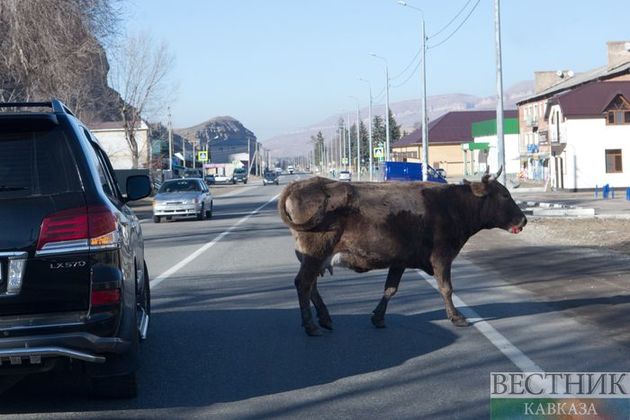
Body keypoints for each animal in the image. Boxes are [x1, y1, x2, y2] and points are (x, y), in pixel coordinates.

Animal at [278, 167, 532, 334]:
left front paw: (378, 317)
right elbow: (446, 288)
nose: (524, 219)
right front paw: (456, 317)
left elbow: (390, 289)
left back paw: (325, 318)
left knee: (311, 286)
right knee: (303, 283)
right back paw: (311, 325)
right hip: (315, 253)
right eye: (504, 195)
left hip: (313, 257)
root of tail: (301, 184)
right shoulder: (441, 256)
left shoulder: (399, 260)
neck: (452, 205)